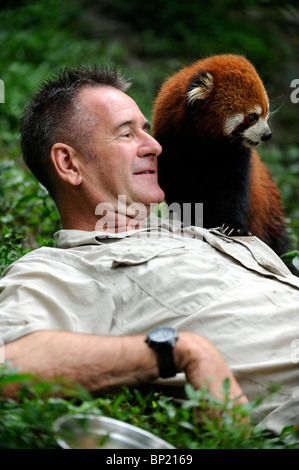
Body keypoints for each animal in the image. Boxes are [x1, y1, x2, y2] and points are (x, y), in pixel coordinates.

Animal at [154, 54, 292, 258]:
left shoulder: (236, 156)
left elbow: (234, 190)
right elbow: (178, 188)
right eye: (253, 116)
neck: (205, 143)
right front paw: (195, 221)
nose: (267, 135)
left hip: (269, 212)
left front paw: (234, 227)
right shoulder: (170, 143)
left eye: (266, 113)